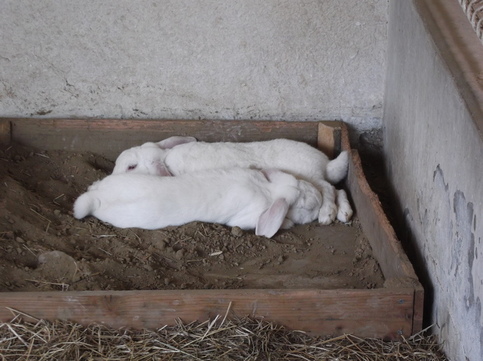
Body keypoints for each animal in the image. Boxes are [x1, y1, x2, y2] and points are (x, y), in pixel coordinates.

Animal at [114, 136, 356, 224]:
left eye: (131, 167)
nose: (113, 177)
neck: (166, 160)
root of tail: (325, 163)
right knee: (339, 190)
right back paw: (344, 213)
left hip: (312, 176)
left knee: (328, 190)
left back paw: (327, 215)